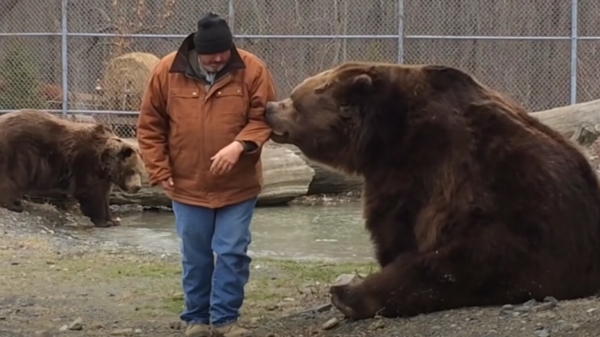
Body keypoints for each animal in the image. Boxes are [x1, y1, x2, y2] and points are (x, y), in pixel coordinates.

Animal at [0, 109, 144, 227]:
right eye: (131, 170)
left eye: (141, 172)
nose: (137, 187)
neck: (104, 162)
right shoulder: (86, 163)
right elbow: (91, 193)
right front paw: (104, 221)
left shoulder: (104, 176)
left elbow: (104, 195)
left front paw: (113, 219)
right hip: (19, 153)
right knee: (11, 177)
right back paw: (14, 204)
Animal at [264, 62, 600, 318]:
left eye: (294, 102)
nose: (268, 108)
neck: (382, 135)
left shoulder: (418, 164)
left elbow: (395, 223)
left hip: (518, 226)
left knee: (447, 267)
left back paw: (348, 295)